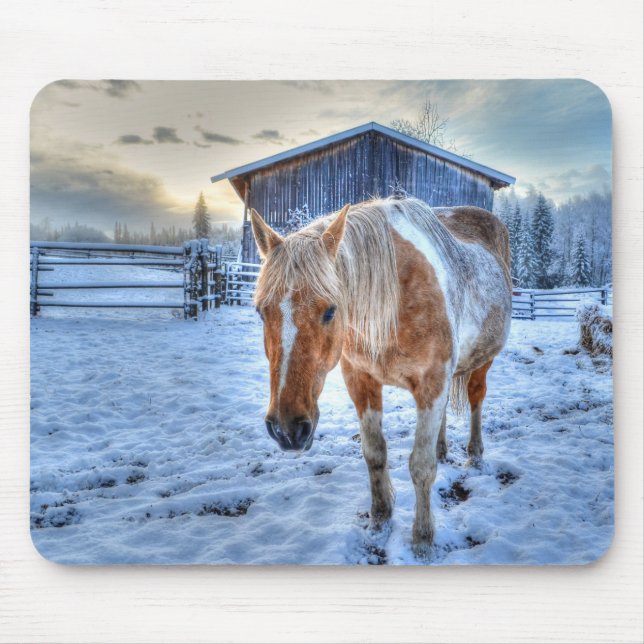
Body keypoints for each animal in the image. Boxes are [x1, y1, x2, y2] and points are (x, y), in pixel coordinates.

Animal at [250, 196, 512, 557]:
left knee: (476, 398)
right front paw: (380, 519)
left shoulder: (432, 382)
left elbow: (421, 466)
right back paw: (443, 448)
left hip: (483, 362)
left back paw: (475, 454)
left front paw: (422, 540)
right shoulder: (361, 380)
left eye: (330, 310)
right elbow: (374, 454)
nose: (287, 430)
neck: (394, 302)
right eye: (261, 311)